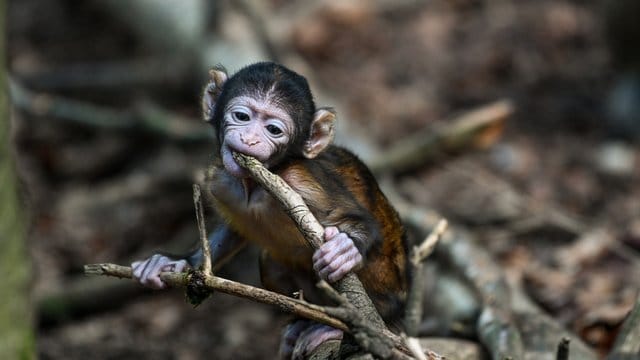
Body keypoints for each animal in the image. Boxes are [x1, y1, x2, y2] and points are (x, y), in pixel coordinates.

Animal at [132, 62, 408, 358]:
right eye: (242, 116)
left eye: (274, 130)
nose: (250, 139)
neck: (254, 186)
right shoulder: (221, 179)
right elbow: (232, 231)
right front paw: (173, 262)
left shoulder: (300, 181)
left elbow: (358, 219)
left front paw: (345, 248)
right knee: (271, 262)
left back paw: (338, 329)